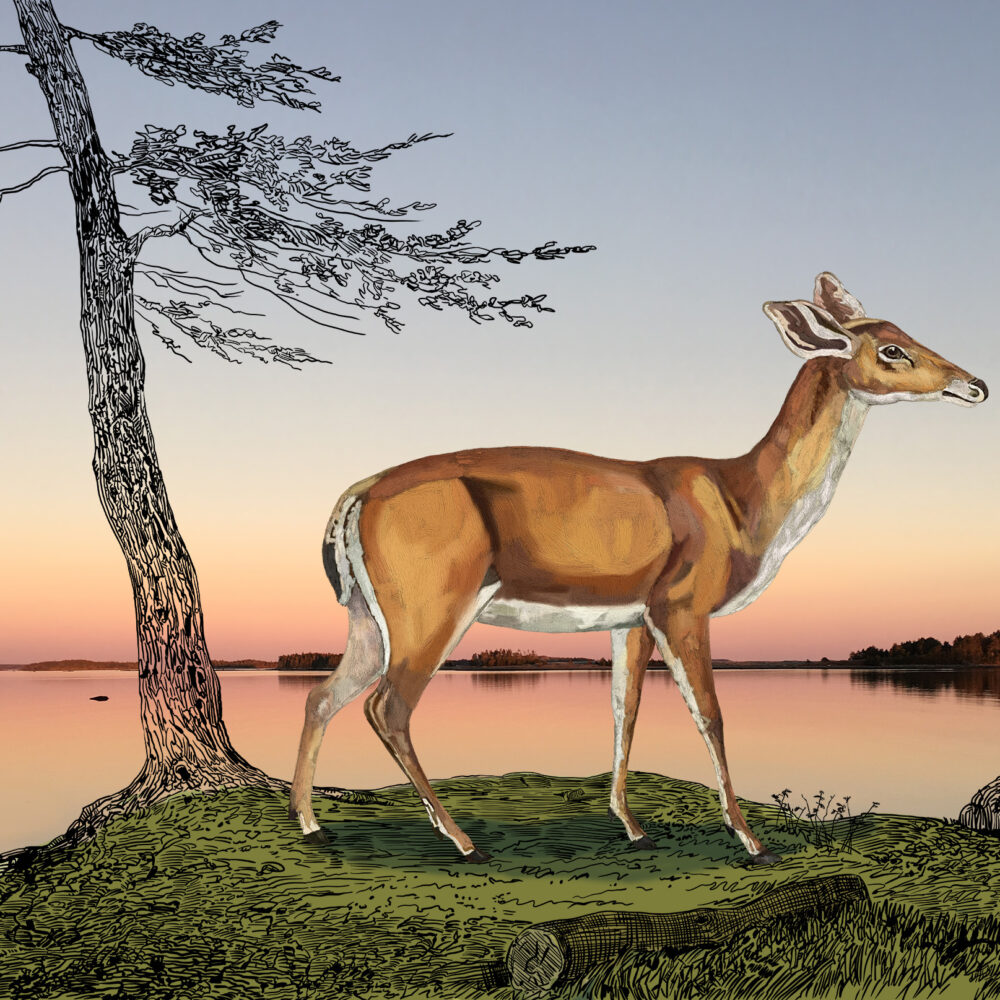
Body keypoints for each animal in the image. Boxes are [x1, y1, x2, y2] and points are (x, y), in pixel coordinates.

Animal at [289, 272, 987, 865]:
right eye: (892, 349)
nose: (975, 385)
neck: (745, 504)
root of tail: (357, 495)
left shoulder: (632, 617)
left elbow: (624, 711)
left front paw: (632, 826)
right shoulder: (682, 602)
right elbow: (711, 714)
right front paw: (750, 840)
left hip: (369, 614)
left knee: (323, 694)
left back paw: (312, 823)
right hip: (432, 601)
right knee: (387, 707)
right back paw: (462, 842)